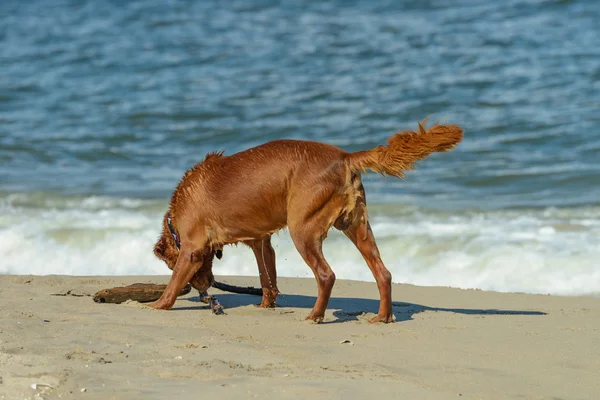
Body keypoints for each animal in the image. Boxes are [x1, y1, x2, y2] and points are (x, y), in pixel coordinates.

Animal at [151, 119, 464, 322]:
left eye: (168, 264)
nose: (204, 290)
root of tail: (345, 156)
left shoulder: (192, 249)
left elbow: (174, 282)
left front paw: (158, 305)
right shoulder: (261, 241)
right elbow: (267, 277)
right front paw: (266, 305)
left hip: (303, 229)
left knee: (327, 275)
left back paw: (316, 315)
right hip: (357, 227)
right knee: (382, 273)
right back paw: (382, 317)